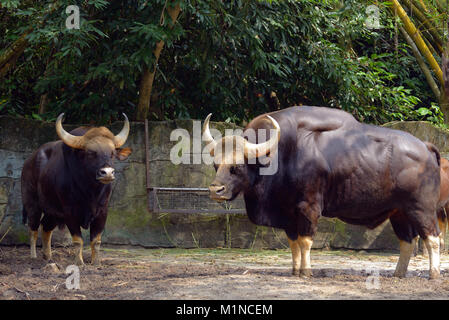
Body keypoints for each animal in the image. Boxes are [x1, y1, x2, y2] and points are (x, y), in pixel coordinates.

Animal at [21, 115, 131, 264]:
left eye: (112, 153)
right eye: (91, 153)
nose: (107, 173)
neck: (90, 192)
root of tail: (28, 162)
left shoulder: (102, 211)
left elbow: (96, 240)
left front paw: (96, 262)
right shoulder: (70, 212)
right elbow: (78, 240)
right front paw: (79, 262)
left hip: (53, 211)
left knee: (46, 227)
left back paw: (48, 256)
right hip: (32, 205)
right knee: (33, 229)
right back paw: (33, 256)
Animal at [203, 106, 440, 278]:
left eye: (237, 167)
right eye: (216, 165)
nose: (216, 190)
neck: (283, 155)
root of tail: (426, 147)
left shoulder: (309, 207)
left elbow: (305, 241)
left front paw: (306, 272)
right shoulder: (288, 213)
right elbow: (294, 242)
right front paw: (295, 270)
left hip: (422, 209)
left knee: (433, 239)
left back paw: (434, 274)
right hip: (400, 212)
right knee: (407, 242)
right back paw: (398, 274)